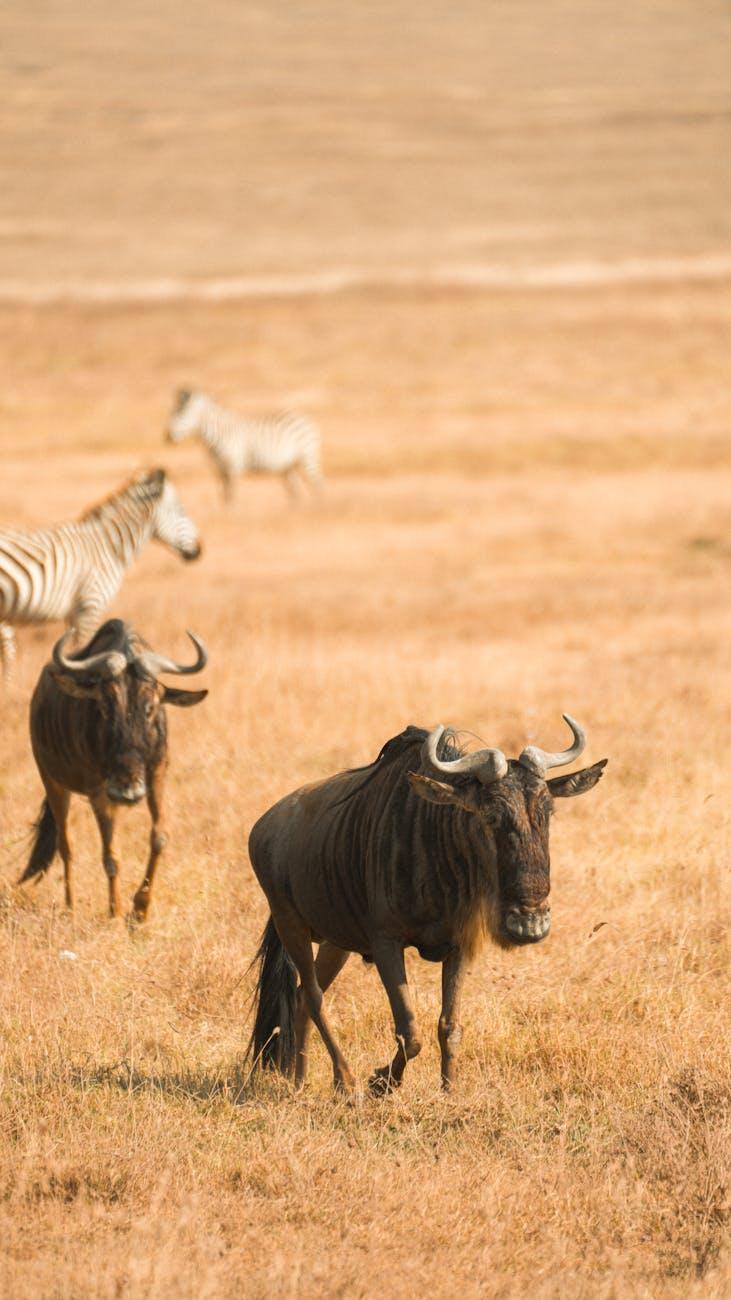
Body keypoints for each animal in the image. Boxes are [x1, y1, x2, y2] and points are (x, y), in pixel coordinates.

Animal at [0, 467, 201, 680]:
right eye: (181, 511)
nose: (199, 550)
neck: (107, 548)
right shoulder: (90, 607)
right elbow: (83, 655)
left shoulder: (76, 615)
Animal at [166, 389, 323, 501]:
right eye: (172, 412)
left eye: (180, 414)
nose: (166, 437)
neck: (217, 435)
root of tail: (300, 415)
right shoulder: (218, 468)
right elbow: (222, 493)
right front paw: (225, 512)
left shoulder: (233, 465)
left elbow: (231, 493)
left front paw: (233, 514)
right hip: (288, 466)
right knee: (295, 489)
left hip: (308, 455)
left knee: (317, 483)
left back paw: (318, 507)